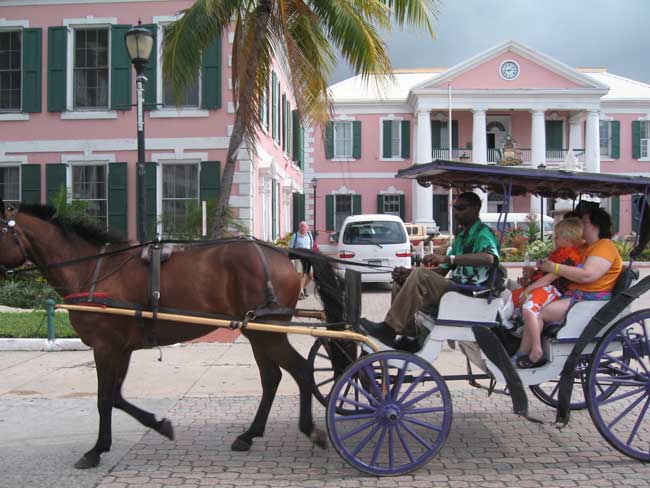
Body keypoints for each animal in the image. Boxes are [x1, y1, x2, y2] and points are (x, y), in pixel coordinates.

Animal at [0, 199, 344, 468]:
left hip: (269, 333)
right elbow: (116, 397)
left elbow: (104, 398)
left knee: (301, 370)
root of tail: (283, 255)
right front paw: (159, 425)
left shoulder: (105, 347)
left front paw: (96, 450)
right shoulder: (120, 349)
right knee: (272, 377)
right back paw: (249, 434)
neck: (94, 271)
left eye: (0, 230)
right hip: (258, 332)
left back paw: (310, 430)